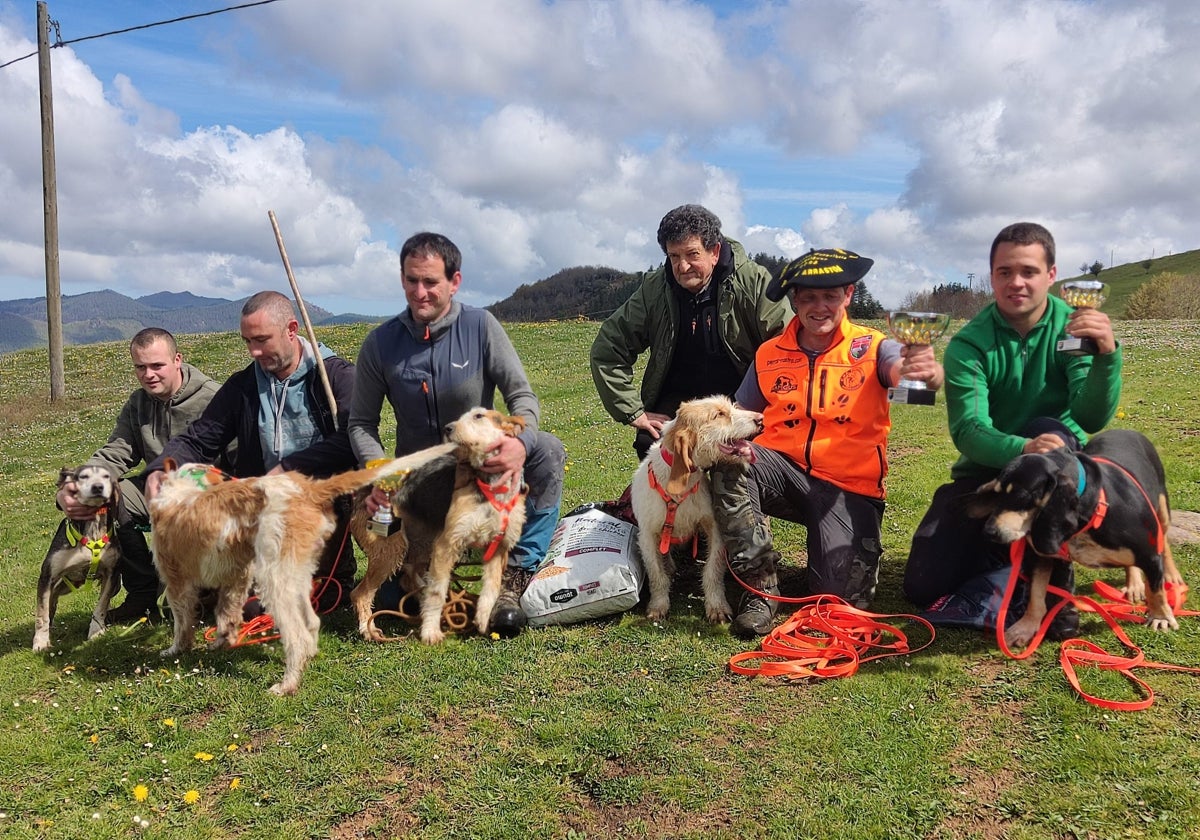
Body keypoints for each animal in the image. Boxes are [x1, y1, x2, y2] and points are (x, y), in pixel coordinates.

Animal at [32, 465, 121, 648]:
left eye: (106, 476)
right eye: (83, 476)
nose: (98, 487)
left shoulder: (111, 575)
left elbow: (101, 606)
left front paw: (96, 631)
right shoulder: (46, 576)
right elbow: (42, 614)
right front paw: (41, 641)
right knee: (51, 600)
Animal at [148, 446, 451, 696]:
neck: (182, 491)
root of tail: (308, 490)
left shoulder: (176, 581)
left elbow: (182, 621)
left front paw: (176, 649)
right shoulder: (236, 577)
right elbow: (227, 612)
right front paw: (223, 640)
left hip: (274, 581)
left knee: (297, 634)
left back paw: (287, 684)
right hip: (297, 576)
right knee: (312, 622)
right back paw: (310, 656)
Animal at [350, 410, 530, 648]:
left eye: (479, 416)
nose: (447, 428)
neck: (489, 483)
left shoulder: (497, 547)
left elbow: (491, 588)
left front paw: (482, 621)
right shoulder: (447, 543)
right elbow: (437, 592)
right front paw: (430, 633)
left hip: (422, 543)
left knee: (409, 579)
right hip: (391, 548)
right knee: (360, 593)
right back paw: (369, 630)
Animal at [633, 396, 763, 624]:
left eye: (731, 406)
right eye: (719, 414)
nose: (761, 418)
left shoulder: (714, 529)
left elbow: (712, 571)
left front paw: (717, 607)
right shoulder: (647, 536)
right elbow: (657, 574)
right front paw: (658, 605)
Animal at [964, 429, 1180, 648]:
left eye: (1022, 496)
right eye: (997, 494)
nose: (989, 532)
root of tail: (1125, 430)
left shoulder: (1149, 554)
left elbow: (1156, 589)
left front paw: (1160, 616)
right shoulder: (1041, 554)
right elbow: (1035, 594)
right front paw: (1026, 626)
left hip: (1162, 508)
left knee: (1165, 540)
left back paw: (1171, 575)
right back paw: (1135, 583)